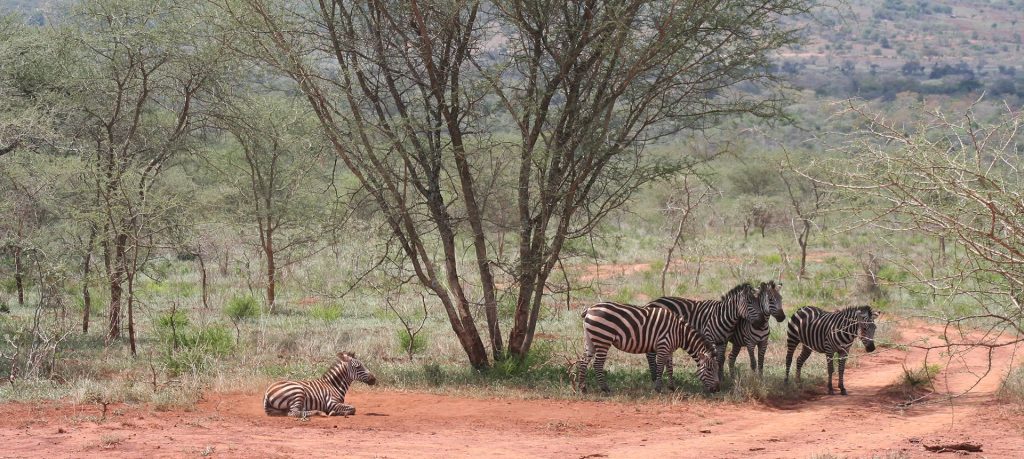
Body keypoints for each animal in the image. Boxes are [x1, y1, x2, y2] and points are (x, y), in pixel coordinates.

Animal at [575, 302, 720, 394]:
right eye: (709, 369)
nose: (717, 389)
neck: (679, 333)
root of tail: (589, 309)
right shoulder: (663, 345)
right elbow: (660, 367)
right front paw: (658, 388)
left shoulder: (669, 349)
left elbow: (670, 368)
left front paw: (672, 387)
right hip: (603, 339)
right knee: (597, 364)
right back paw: (605, 388)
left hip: (590, 339)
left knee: (583, 361)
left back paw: (583, 388)